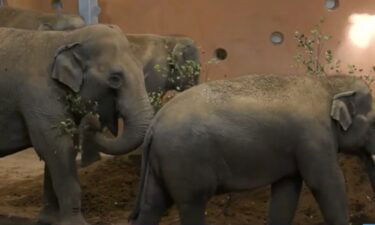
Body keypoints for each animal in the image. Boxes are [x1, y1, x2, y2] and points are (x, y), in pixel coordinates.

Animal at [0, 24, 154, 225]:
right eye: (115, 78)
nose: (93, 119)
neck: (67, 38)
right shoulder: (39, 98)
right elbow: (56, 148)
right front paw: (75, 223)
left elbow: (61, 149)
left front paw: (48, 220)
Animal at [125, 74, 375, 225]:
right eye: (374, 122)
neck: (328, 83)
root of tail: (154, 124)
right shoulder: (314, 137)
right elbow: (326, 183)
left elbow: (287, 191)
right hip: (184, 160)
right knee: (191, 204)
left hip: (161, 163)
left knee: (152, 205)